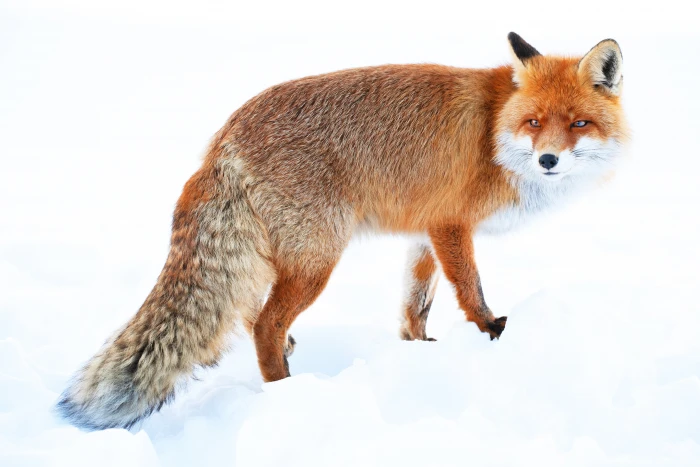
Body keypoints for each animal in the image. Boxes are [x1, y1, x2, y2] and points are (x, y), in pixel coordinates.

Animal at [57, 33, 628, 430]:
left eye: (578, 124)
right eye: (535, 122)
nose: (549, 160)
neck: (494, 135)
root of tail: (225, 136)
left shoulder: (423, 233)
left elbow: (415, 306)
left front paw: (419, 353)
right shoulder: (450, 223)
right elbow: (471, 290)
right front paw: (492, 334)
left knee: (247, 312)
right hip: (319, 258)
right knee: (263, 324)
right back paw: (287, 395)